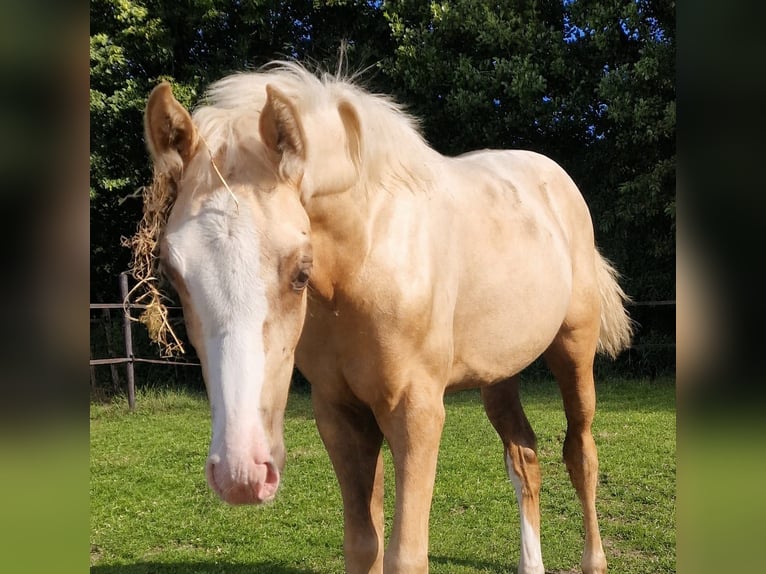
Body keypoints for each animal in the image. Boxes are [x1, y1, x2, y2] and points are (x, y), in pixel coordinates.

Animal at [142, 62, 632, 574]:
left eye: (301, 270)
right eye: (172, 272)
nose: (241, 472)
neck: (366, 259)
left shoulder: (416, 412)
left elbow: (405, 555)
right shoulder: (341, 414)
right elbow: (363, 545)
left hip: (573, 352)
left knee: (581, 454)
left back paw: (594, 560)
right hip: (499, 373)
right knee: (524, 457)